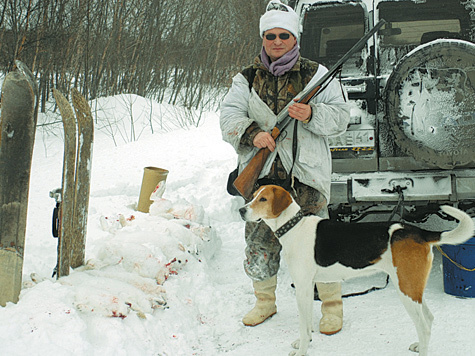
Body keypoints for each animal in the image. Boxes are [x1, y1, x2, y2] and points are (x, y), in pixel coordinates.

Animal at [240, 185, 475, 354]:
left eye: (263, 199)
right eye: (253, 196)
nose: (241, 210)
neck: (294, 227)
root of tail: (418, 232)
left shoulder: (303, 287)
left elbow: (303, 323)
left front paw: (302, 350)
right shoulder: (307, 287)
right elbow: (307, 325)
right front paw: (304, 341)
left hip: (406, 288)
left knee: (424, 326)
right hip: (412, 286)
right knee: (430, 318)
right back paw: (419, 345)